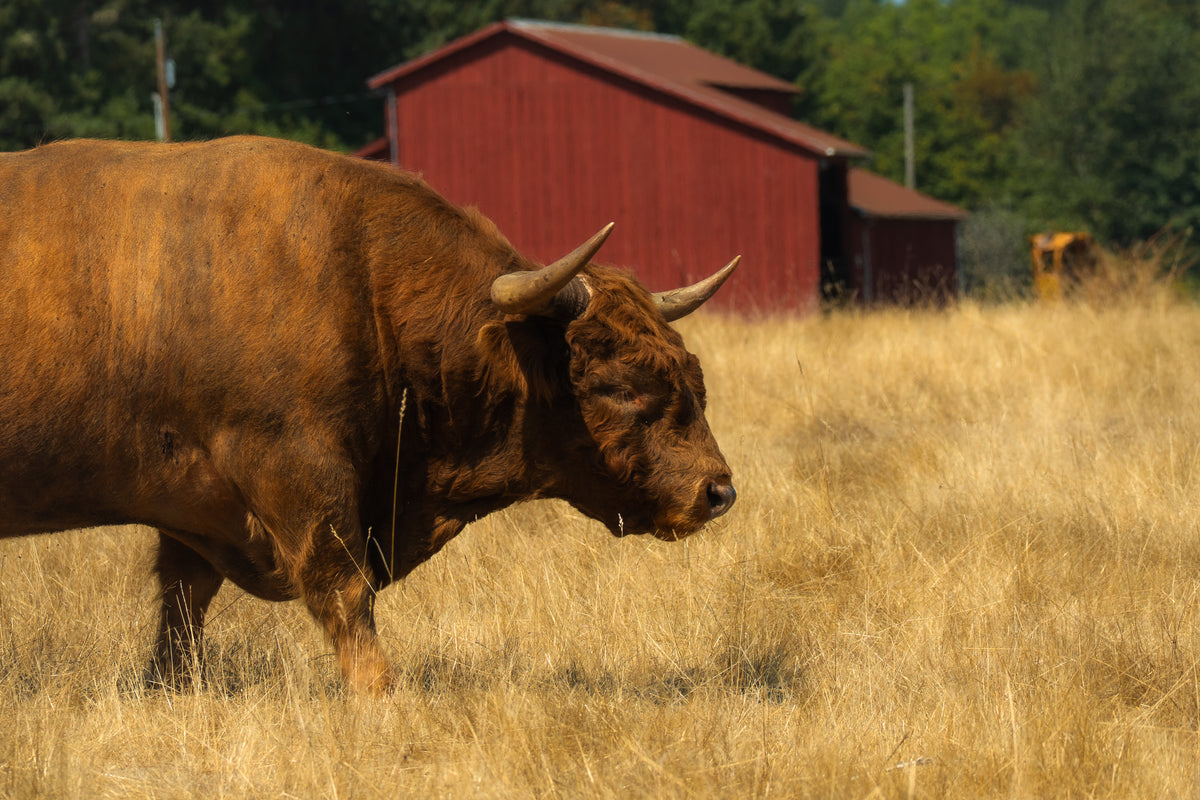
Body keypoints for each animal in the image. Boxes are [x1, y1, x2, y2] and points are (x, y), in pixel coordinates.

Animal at [0, 136, 737, 694]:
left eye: (692, 373)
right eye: (619, 387)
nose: (718, 491)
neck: (363, 281)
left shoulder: (194, 508)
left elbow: (184, 600)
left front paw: (172, 686)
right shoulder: (299, 474)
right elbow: (343, 590)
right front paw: (378, 692)